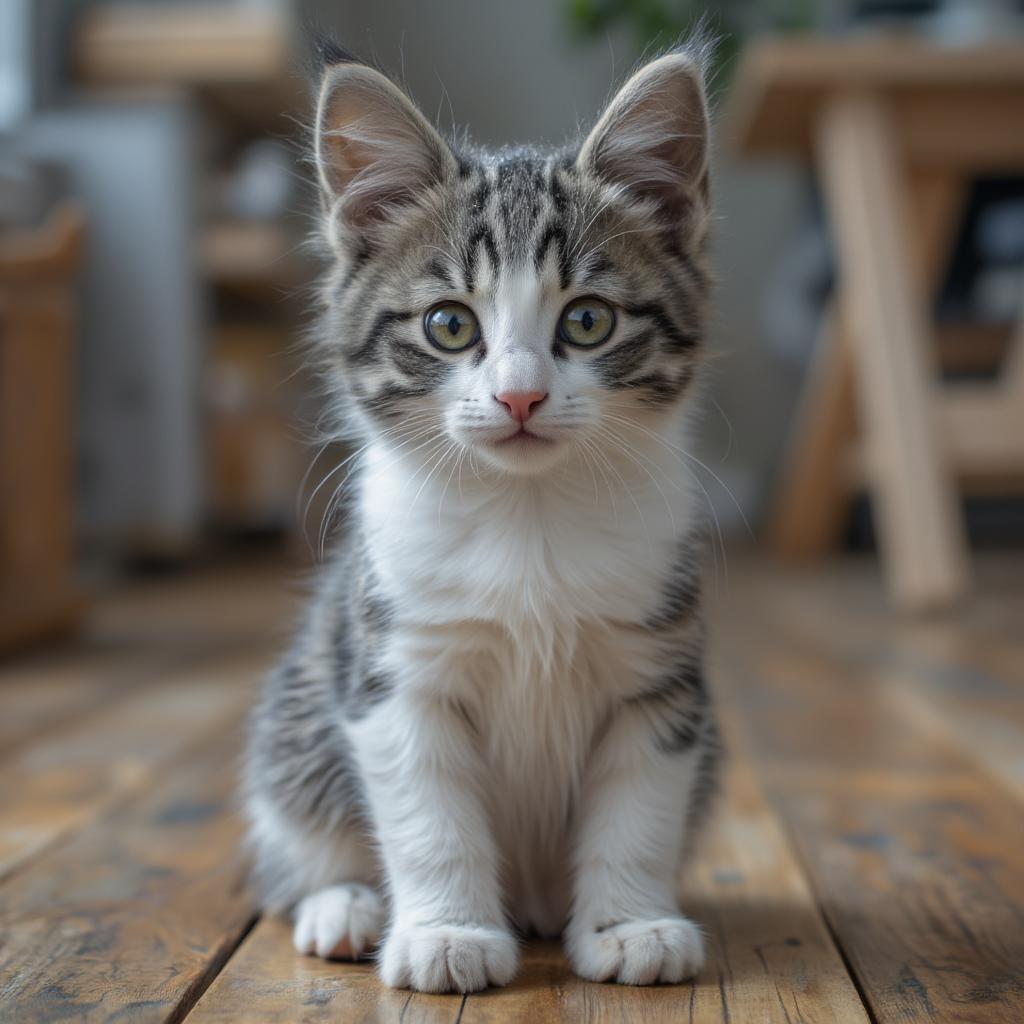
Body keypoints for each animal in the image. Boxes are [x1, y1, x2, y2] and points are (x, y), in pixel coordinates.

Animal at [242, 39, 716, 991]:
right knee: (297, 844)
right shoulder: (394, 671)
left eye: (588, 320)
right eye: (450, 326)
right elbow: (429, 820)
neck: (527, 516)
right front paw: (448, 933)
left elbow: (639, 812)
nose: (520, 396)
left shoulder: (660, 676)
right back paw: (343, 906)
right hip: (299, 716)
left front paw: (631, 924)